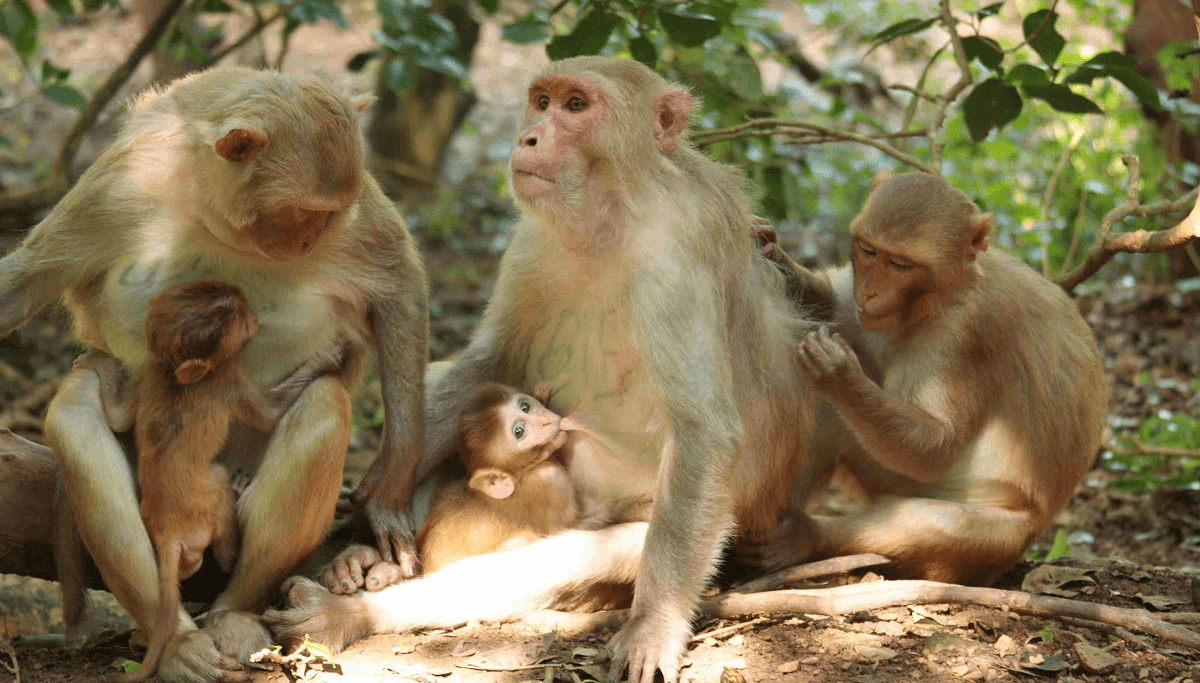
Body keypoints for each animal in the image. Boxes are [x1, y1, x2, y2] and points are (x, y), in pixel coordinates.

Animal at [0, 67, 428, 683]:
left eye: (329, 213)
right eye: (303, 211)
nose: (309, 241)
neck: (209, 212)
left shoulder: (358, 214)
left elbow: (396, 284)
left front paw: (393, 482)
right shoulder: (117, 188)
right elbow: (30, 279)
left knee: (324, 405)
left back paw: (233, 611)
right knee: (76, 411)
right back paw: (174, 637)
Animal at [265, 56, 823, 683]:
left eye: (576, 106)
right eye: (541, 101)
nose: (529, 136)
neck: (614, 211)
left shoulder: (675, 253)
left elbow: (703, 429)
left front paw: (654, 625)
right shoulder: (534, 233)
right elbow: (491, 359)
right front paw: (380, 502)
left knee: (590, 551)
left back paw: (350, 614)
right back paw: (363, 561)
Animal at [745, 171, 1107, 585]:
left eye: (900, 264)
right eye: (868, 251)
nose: (870, 292)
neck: (943, 295)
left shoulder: (961, 336)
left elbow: (935, 446)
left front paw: (840, 377)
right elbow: (835, 310)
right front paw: (771, 248)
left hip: (1000, 538)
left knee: (940, 523)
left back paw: (806, 536)